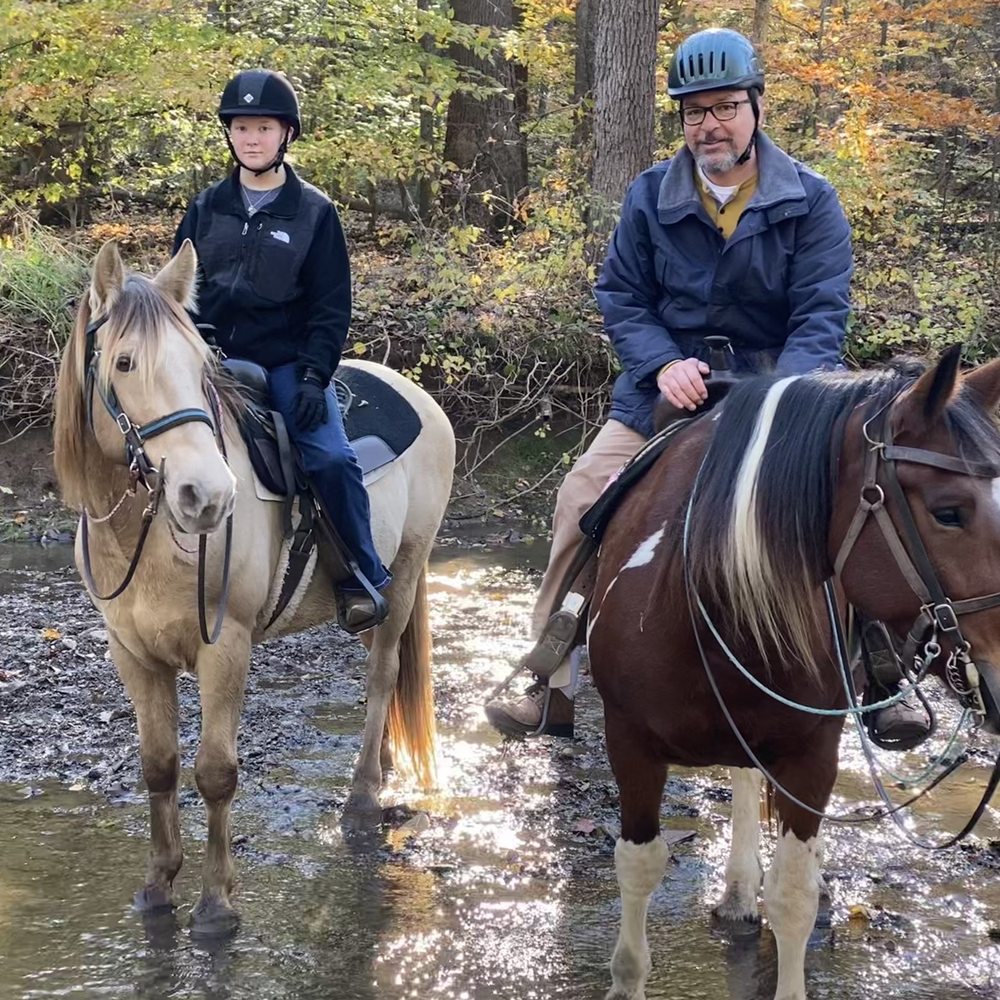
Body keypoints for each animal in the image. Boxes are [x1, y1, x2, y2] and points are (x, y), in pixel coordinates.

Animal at [52, 241, 455, 933]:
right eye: (125, 362)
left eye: (200, 365)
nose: (208, 497)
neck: (145, 534)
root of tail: (418, 395)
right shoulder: (133, 654)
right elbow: (158, 765)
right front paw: (158, 885)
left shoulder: (226, 648)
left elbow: (215, 773)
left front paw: (217, 903)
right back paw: (380, 769)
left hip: (404, 575)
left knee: (382, 677)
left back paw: (362, 797)